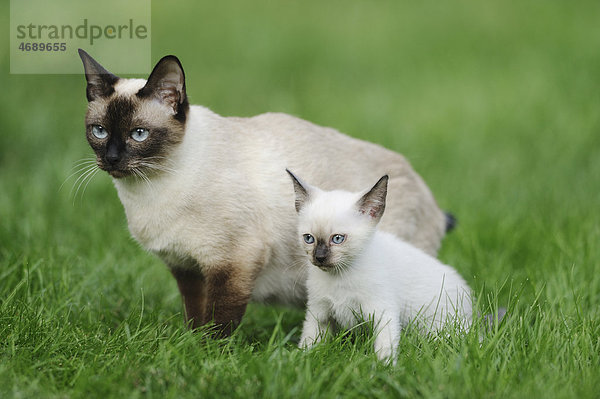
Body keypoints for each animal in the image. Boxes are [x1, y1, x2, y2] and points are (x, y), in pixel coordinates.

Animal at [76, 50, 450, 338]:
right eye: (99, 131)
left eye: (138, 134)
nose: (112, 159)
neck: (150, 190)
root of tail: (424, 189)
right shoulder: (188, 268)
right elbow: (196, 318)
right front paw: (189, 346)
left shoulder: (233, 261)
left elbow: (218, 324)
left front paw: (207, 356)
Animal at [288, 170, 474, 364]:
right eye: (309, 238)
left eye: (338, 238)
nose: (319, 257)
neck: (340, 276)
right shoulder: (319, 314)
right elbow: (309, 342)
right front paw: (300, 359)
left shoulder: (383, 313)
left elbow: (385, 349)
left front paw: (383, 367)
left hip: (441, 328)